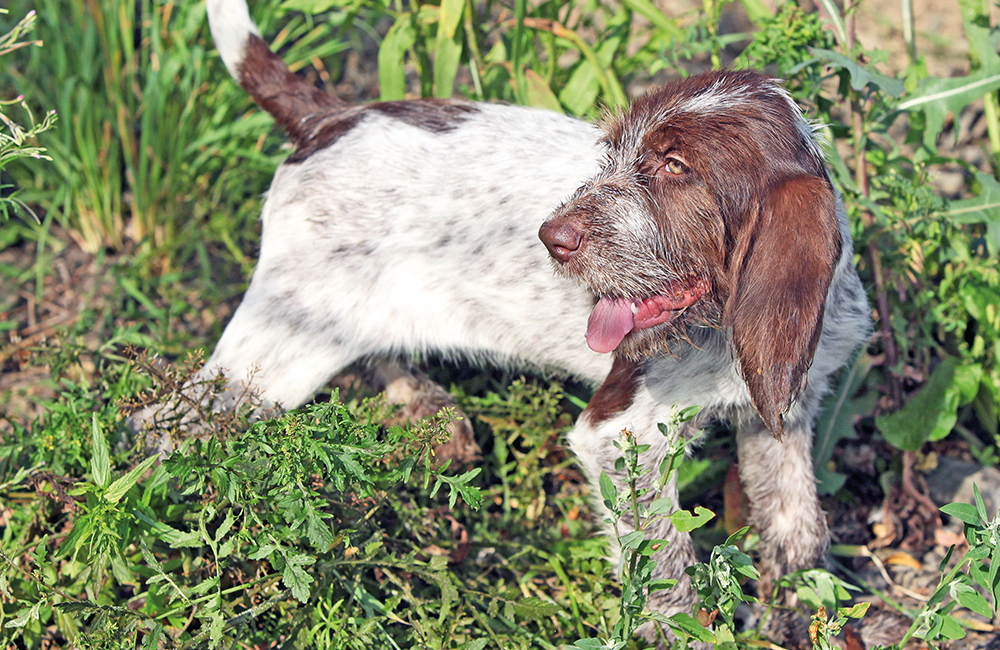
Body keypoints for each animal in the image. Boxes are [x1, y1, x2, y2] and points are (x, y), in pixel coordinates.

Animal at [180, 0, 868, 636]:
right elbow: (664, 569)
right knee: (170, 424)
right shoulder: (621, 435)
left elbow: (798, 527)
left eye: (676, 168)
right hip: (275, 351)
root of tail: (330, 119)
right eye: (612, 152)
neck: (719, 325)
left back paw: (422, 403)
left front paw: (797, 616)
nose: (552, 236)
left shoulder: (782, 414)